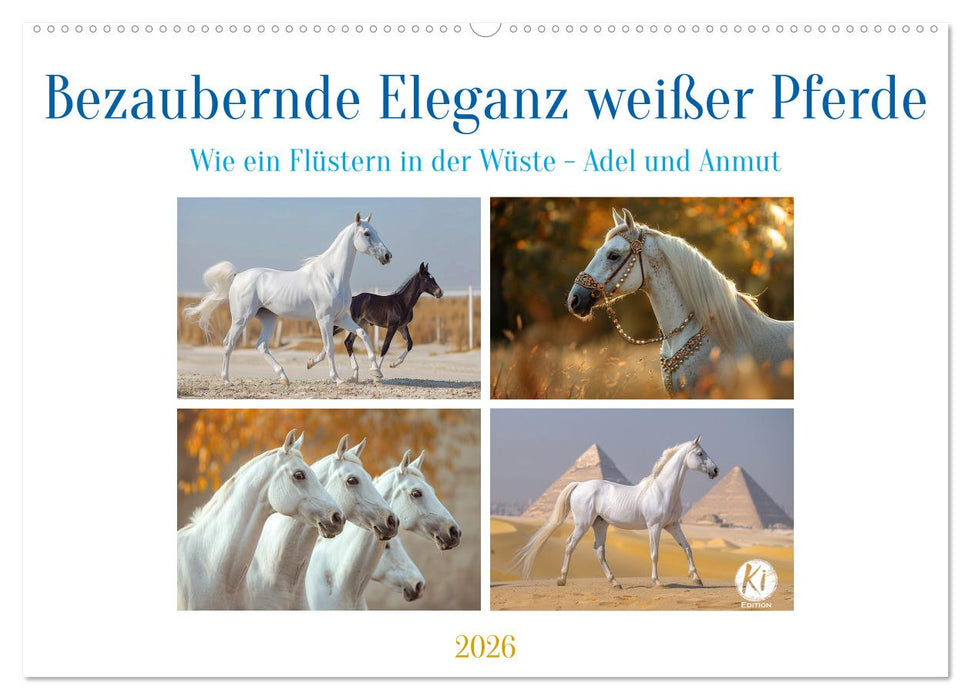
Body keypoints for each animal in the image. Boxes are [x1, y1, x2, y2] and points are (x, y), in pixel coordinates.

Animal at [183, 212, 392, 386]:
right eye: (367, 233)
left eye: (375, 231)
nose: (387, 256)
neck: (331, 276)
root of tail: (238, 276)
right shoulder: (324, 318)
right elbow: (330, 347)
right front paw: (338, 379)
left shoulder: (341, 317)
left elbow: (362, 334)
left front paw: (376, 372)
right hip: (242, 318)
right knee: (229, 343)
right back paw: (226, 380)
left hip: (268, 317)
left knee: (261, 346)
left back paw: (284, 378)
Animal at [516, 437, 718, 589]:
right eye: (700, 453)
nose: (715, 470)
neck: (663, 490)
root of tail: (579, 485)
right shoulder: (654, 526)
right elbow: (655, 553)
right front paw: (658, 581)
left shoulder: (672, 525)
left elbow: (687, 547)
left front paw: (696, 578)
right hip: (583, 523)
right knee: (570, 544)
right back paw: (562, 579)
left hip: (600, 524)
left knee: (598, 550)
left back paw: (615, 583)